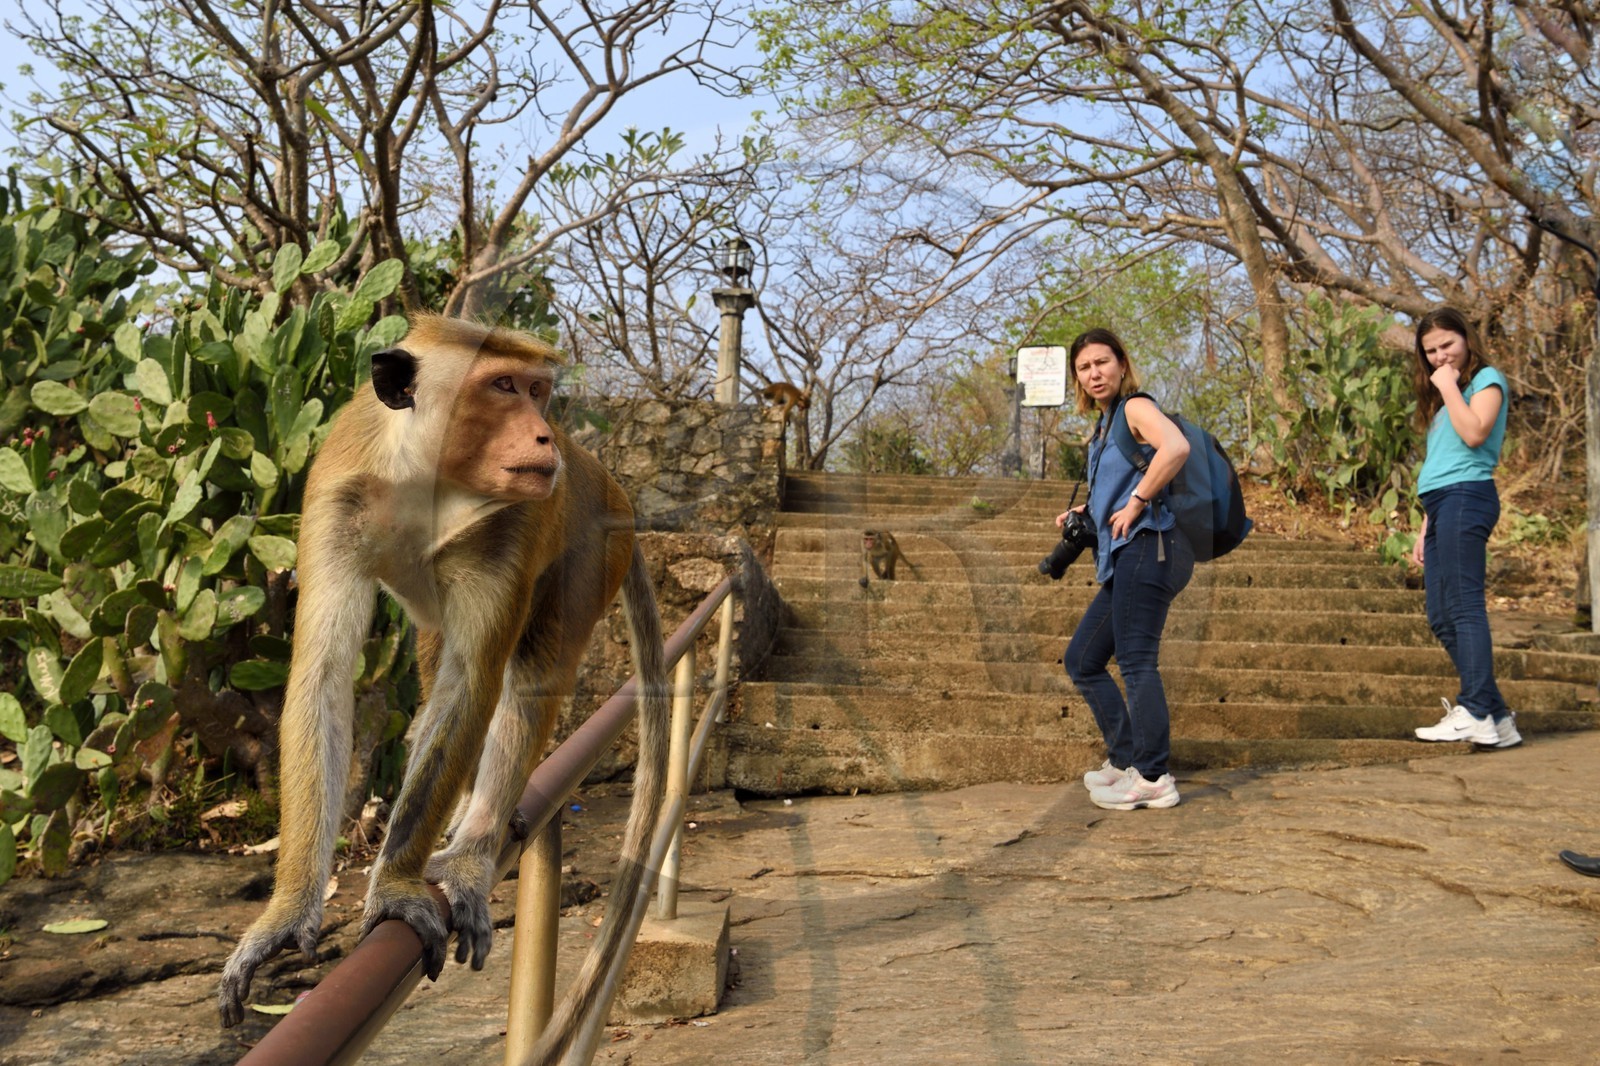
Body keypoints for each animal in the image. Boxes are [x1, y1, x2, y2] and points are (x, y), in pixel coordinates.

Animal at [216, 314, 669, 1065]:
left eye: (539, 391)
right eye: (504, 386)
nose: (547, 438)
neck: (429, 478)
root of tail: (602, 474)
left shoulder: (512, 522)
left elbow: (475, 681)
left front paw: (398, 884)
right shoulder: (335, 493)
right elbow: (323, 678)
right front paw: (287, 912)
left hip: (595, 550)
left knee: (530, 675)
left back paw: (471, 853)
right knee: (433, 670)